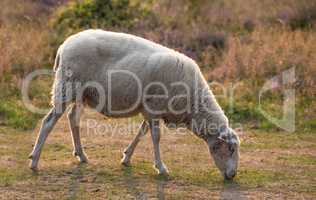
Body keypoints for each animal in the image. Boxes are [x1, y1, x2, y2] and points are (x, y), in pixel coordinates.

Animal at [29, 29, 239, 180]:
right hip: (67, 85)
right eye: (230, 149)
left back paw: (81, 155)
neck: (194, 105)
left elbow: (142, 132)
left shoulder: (149, 108)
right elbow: (156, 137)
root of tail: (63, 46)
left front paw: (127, 157)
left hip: (81, 93)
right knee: (49, 121)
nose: (232, 175)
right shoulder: (154, 106)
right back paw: (34, 161)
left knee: (73, 118)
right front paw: (161, 168)